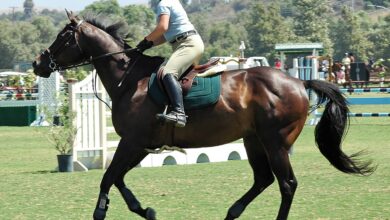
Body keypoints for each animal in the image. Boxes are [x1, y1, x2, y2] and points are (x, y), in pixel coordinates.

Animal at [32, 12, 374, 220]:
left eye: (63, 37)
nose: (38, 64)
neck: (128, 79)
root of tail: (299, 82)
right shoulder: (140, 145)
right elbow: (117, 178)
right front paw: (145, 210)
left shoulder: (132, 141)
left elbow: (108, 177)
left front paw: (102, 212)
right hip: (253, 140)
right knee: (263, 179)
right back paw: (231, 212)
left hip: (275, 142)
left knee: (286, 183)